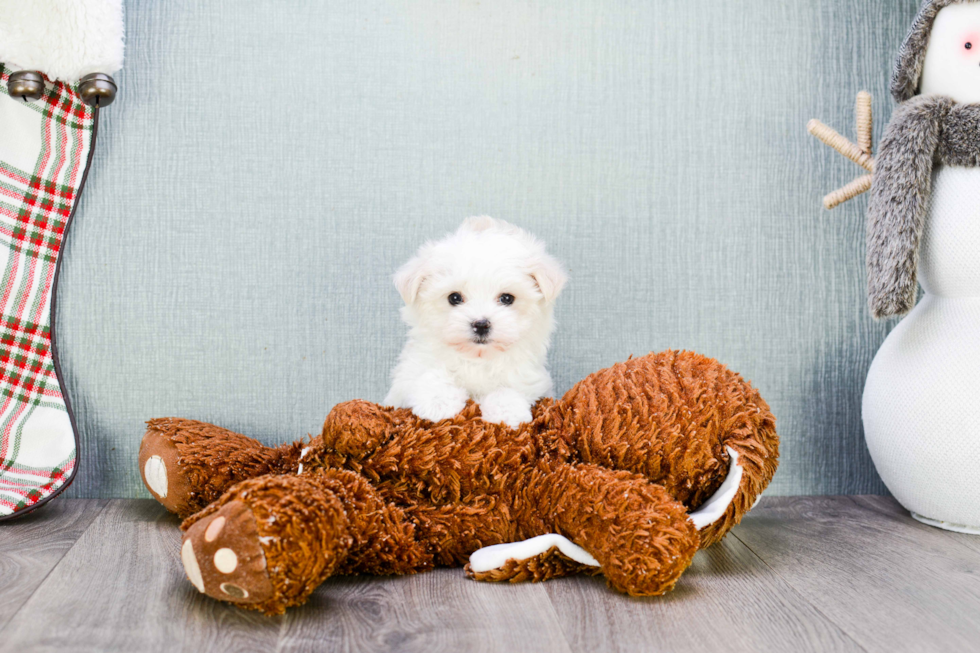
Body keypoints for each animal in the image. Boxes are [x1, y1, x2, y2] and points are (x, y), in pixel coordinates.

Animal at [382, 216, 568, 426]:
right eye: (454, 298)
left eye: (507, 298)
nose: (481, 324)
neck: (476, 360)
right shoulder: (408, 374)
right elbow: (430, 373)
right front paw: (438, 404)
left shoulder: (531, 378)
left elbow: (510, 387)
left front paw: (507, 413)